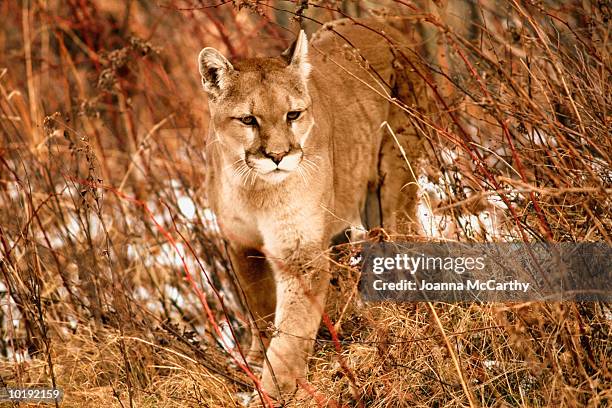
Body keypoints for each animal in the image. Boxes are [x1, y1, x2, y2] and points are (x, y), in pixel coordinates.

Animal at [197, 18, 426, 402]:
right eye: (248, 120)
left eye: (293, 114)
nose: (277, 156)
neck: (255, 190)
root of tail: (387, 24)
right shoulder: (242, 245)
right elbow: (260, 309)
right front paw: (257, 360)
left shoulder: (300, 254)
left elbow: (290, 333)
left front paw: (274, 392)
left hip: (394, 184)